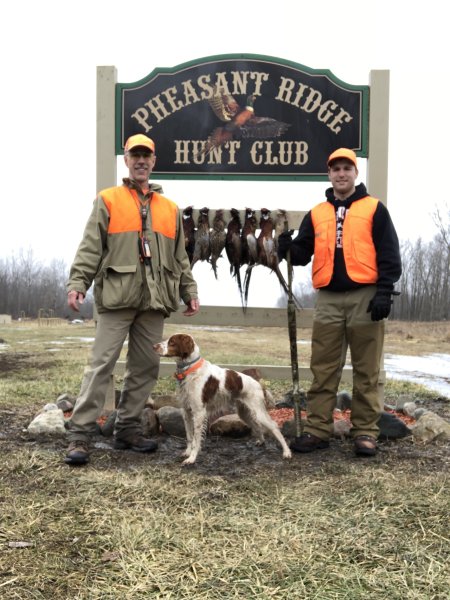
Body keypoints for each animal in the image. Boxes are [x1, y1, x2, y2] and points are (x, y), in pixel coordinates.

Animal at [153, 332, 294, 464]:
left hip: (259, 411)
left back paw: (287, 452)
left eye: (172, 342)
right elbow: (189, 436)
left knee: (274, 426)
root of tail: (259, 384)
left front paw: (192, 458)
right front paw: (187, 452)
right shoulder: (186, 411)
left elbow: (196, 439)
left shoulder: (199, 412)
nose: (154, 346)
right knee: (257, 425)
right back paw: (261, 441)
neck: (191, 371)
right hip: (244, 413)